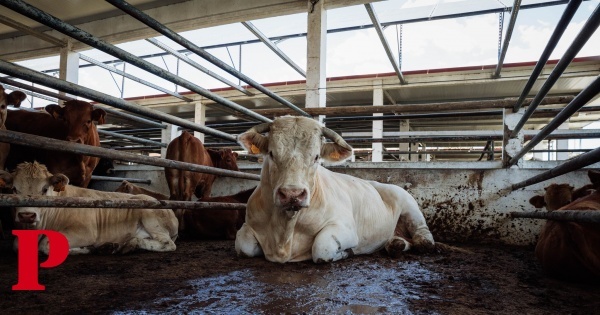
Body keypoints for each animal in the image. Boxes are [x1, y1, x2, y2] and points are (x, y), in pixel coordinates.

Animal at [4, 162, 178, 256]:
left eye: (45, 189)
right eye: (13, 189)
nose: (27, 215)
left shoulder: (86, 231)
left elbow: (47, 245)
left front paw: (87, 249)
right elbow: (16, 245)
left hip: (150, 216)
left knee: (167, 243)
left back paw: (127, 245)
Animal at [234, 116, 436, 264]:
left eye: (316, 157)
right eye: (271, 154)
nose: (292, 194)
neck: (284, 232)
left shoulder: (345, 228)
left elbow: (321, 248)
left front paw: (347, 252)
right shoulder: (248, 225)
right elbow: (243, 246)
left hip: (409, 206)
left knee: (422, 233)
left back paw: (421, 243)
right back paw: (396, 244)